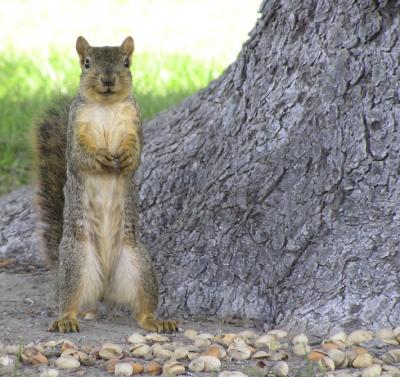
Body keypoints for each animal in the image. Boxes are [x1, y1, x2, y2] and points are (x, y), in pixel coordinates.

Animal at [34, 36, 177, 332]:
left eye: (127, 62)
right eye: (87, 63)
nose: (108, 79)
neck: (107, 106)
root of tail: (104, 288)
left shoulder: (135, 125)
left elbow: (136, 155)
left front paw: (127, 157)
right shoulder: (75, 132)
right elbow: (80, 155)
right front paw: (99, 157)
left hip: (140, 266)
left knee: (142, 310)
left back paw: (156, 321)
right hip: (77, 263)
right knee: (68, 301)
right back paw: (66, 320)